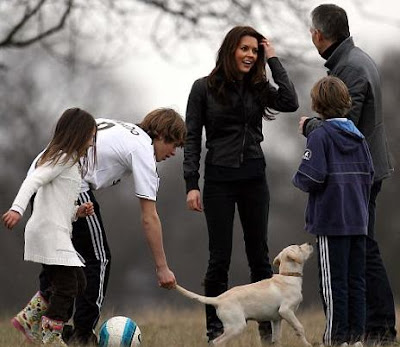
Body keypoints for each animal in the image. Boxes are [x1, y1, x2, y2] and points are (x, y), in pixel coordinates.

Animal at [177, 243, 314, 346]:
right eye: (299, 247)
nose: (310, 243)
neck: (288, 275)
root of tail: (218, 299)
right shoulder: (286, 311)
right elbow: (300, 328)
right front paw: (307, 344)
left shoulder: (276, 319)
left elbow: (276, 339)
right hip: (237, 326)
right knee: (217, 342)